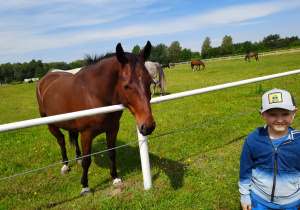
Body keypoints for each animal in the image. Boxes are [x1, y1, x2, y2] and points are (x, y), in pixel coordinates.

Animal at [36, 41, 156, 196]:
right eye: (126, 85)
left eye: (149, 82)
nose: (148, 126)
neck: (94, 94)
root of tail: (44, 79)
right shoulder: (87, 134)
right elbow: (87, 160)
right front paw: (85, 186)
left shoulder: (112, 129)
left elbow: (112, 153)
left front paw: (115, 178)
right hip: (51, 124)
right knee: (61, 140)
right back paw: (65, 165)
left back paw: (77, 158)